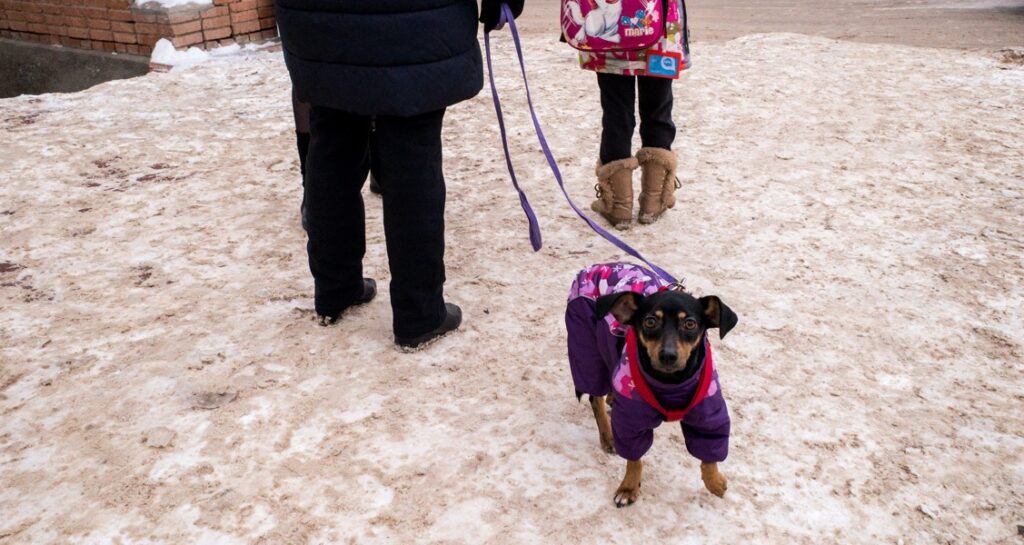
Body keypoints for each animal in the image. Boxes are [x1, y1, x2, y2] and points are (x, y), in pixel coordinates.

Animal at [573, 280, 741, 506]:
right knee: (594, 397)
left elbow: (709, 451)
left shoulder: (708, 412)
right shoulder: (631, 421)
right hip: (588, 349)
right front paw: (628, 488)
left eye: (690, 324)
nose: (668, 355)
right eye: (650, 321)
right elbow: (634, 459)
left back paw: (613, 398)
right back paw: (608, 437)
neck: (670, 383)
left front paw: (714, 482)